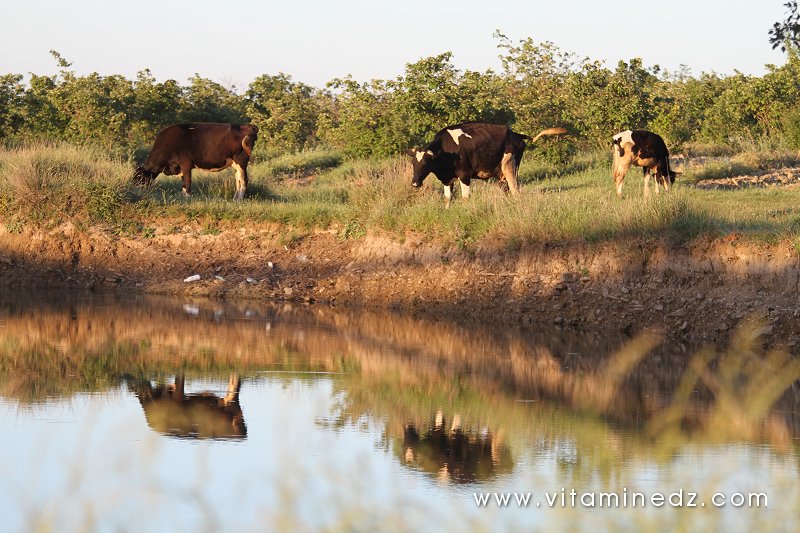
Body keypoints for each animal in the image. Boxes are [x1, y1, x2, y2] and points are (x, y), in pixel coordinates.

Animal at [408, 122, 568, 207]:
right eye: (413, 163)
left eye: (426, 163)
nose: (415, 183)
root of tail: (514, 133)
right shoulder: (447, 179)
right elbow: (447, 199)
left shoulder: (464, 175)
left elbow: (465, 198)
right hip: (501, 174)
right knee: (506, 189)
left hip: (510, 165)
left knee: (515, 189)